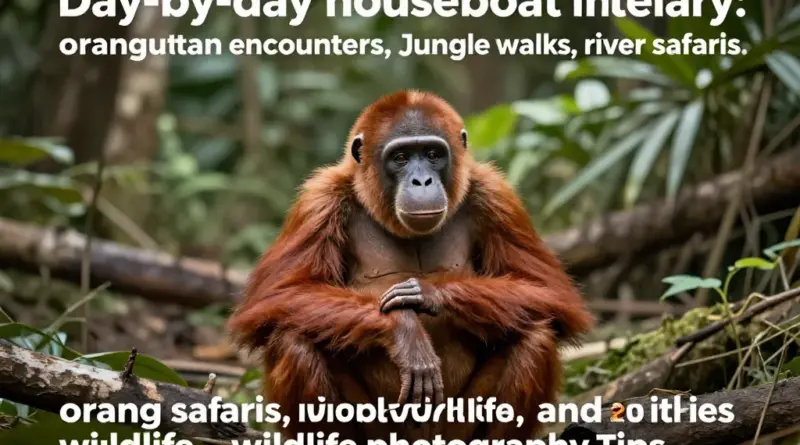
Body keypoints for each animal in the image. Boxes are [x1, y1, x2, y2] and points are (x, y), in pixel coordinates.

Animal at [227, 90, 594, 442]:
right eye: (401, 158)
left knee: (536, 335)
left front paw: (430, 294)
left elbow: (548, 291)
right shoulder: (318, 203)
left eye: (432, 154)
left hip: (454, 432)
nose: (422, 181)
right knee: (293, 339)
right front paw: (405, 332)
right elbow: (280, 294)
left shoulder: (498, 197)